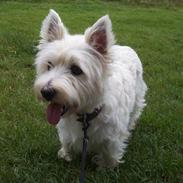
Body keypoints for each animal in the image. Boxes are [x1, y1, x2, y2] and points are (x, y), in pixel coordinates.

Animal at [33, 9, 147, 167]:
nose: (46, 92)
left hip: (138, 98)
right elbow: (66, 141)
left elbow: (109, 153)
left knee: (135, 113)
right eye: (49, 65)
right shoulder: (67, 130)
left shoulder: (112, 137)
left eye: (76, 70)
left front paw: (106, 166)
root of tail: (126, 47)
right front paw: (66, 155)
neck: (85, 116)